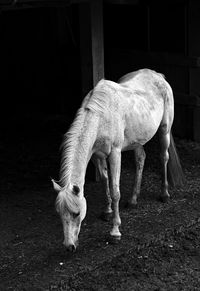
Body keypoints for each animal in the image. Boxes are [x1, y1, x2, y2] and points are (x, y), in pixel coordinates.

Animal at [51, 69, 184, 252]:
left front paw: (115, 233)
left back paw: (164, 194)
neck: (101, 116)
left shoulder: (115, 153)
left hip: (165, 130)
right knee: (140, 159)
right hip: (137, 139)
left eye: (76, 213)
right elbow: (105, 181)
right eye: (59, 213)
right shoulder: (97, 155)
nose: (69, 246)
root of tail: (157, 75)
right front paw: (107, 212)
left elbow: (115, 191)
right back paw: (133, 200)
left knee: (163, 157)